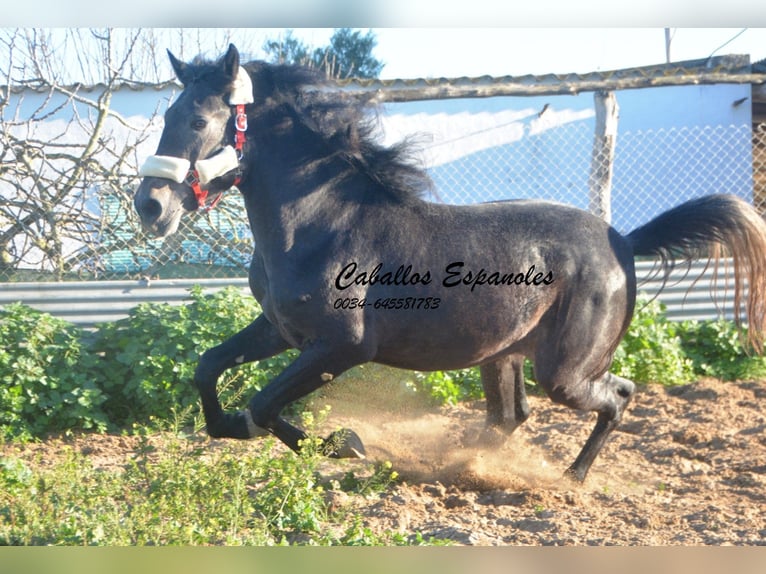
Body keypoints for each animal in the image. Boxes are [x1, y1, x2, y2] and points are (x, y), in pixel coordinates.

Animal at [134, 45, 766, 484]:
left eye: (198, 121)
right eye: (167, 114)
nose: (150, 206)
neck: (319, 220)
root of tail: (624, 244)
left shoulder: (341, 346)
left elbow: (263, 402)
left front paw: (347, 445)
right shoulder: (282, 329)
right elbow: (209, 369)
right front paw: (243, 429)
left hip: (565, 371)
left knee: (620, 395)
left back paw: (570, 478)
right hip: (503, 354)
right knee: (511, 416)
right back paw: (462, 466)